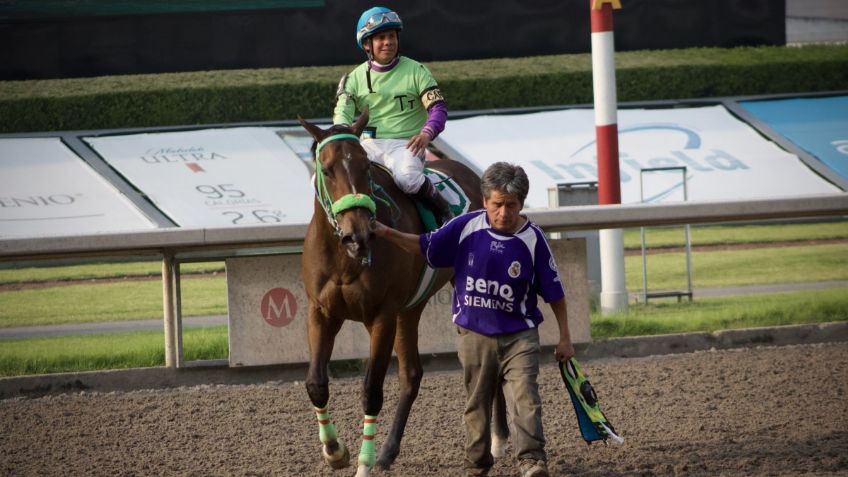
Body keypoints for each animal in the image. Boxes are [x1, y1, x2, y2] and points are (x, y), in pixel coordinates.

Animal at [300, 109, 504, 474]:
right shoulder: (321, 312)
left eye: (365, 167)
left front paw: (362, 464)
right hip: (409, 310)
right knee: (412, 374)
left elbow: (371, 389)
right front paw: (335, 451)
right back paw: (388, 451)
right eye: (326, 168)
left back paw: (496, 442)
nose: (358, 234)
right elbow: (316, 384)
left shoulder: (382, 316)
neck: (346, 257)